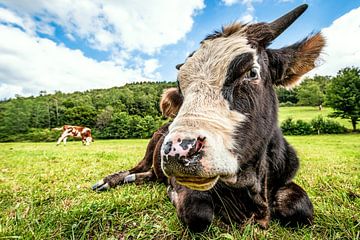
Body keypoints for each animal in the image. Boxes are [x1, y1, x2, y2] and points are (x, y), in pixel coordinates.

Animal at [92, 3, 324, 232]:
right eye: (180, 86)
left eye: (252, 72)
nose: (177, 151)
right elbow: (197, 213)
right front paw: (172, 194)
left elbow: (301, 207)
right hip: (150, 149)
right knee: (138, 168)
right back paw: (111, 180)